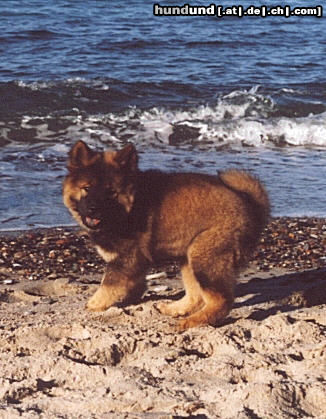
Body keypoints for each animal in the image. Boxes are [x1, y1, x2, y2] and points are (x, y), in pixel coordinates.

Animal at [63, 143, 270, 330]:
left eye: (111, 192)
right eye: (86, 188)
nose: (93, 209)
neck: (128, 208)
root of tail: (249, 202)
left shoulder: (125, 261)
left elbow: (106, 288)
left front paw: (92, 306)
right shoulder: (134, 264)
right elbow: (130, 286)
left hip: (204, 255)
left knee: (221, 301)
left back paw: (191, 322)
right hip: (189, 258)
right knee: (196, 296)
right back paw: (174, 309)